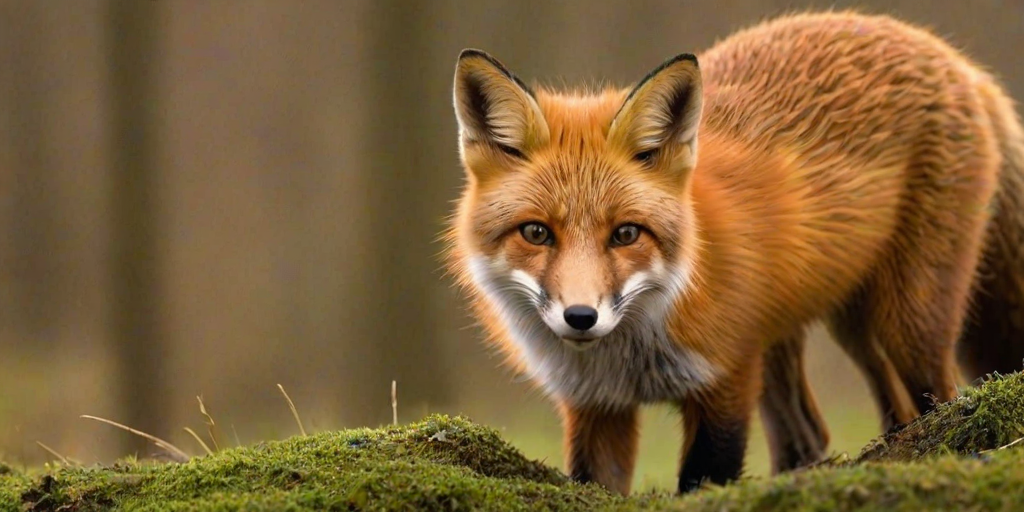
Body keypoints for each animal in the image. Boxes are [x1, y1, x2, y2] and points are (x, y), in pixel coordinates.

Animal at [442, 10, 1024, 496]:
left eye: (626, 234)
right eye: (536, 233)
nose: (581, 317)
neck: (631, 353)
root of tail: (953, 58)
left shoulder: (727, 379)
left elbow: (702, 479)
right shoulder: (597, 408)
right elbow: (596, 482)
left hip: (905, 320)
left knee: (938, 397)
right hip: (837, 327)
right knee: (828, 431)